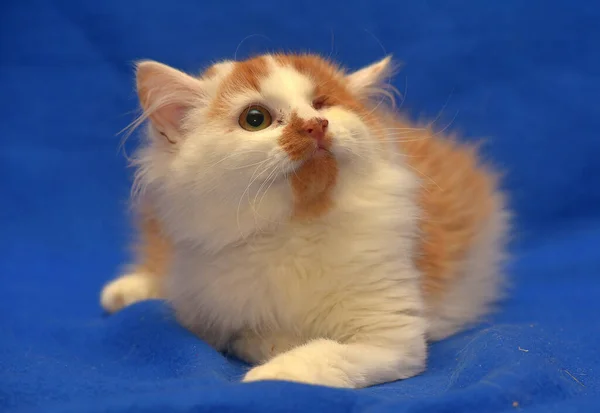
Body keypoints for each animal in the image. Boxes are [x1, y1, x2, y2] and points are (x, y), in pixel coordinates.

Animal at [101, 53, 508, 388]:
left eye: (322, 104)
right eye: (255, 119)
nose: (316, 124)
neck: (295, 227)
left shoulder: (391, 337)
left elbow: (321, 353)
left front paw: (269, 373)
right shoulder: (208, 308)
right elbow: (237, 334)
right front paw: (269, 350)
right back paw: (124, 291)